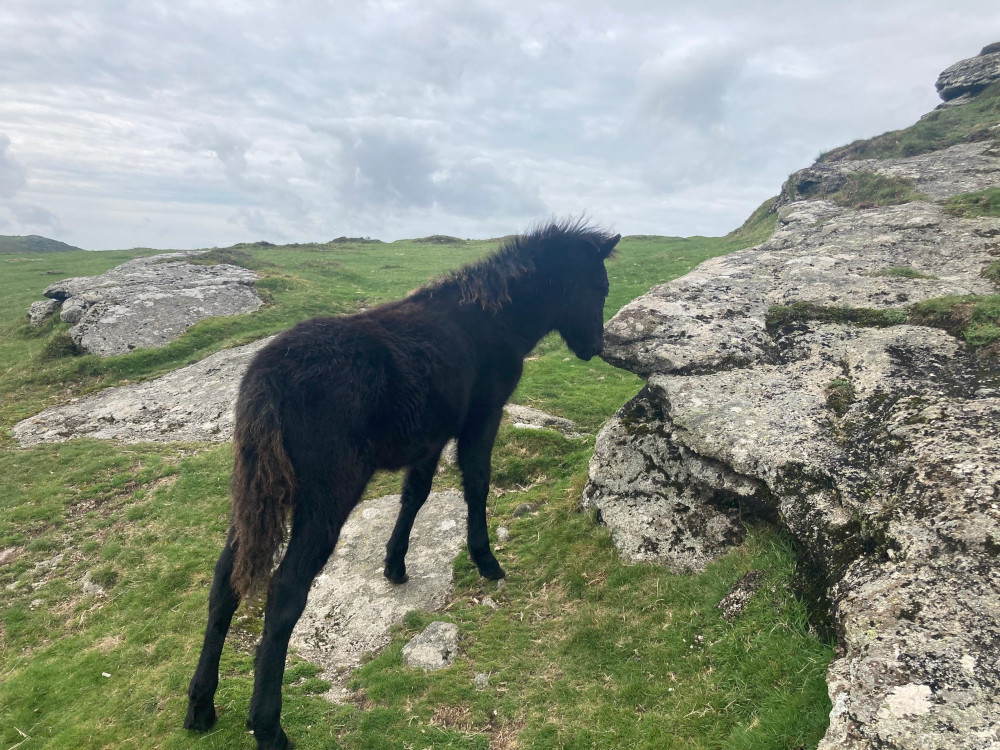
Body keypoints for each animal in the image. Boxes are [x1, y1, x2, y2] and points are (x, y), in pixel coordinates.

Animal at [184, 219, 620, 749]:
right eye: (598, 286)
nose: (594, 347)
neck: (488, 320)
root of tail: (267, 381)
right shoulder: (481, 418)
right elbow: (477, 483)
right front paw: (486, 560)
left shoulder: (431, 437)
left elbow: (417, 493)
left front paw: (395, 564)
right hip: (325, 497)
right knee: (285, 591)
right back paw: (268, 727)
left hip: (256, 492)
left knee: (224, 580)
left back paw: (200, 706)